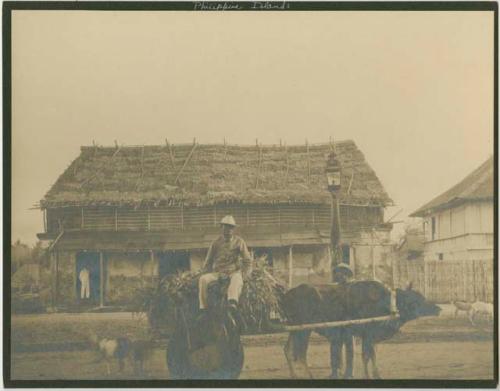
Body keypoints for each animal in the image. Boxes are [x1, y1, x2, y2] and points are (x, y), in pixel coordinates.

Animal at [284, 282, 440, 380]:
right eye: (416, 299)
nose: (438, 308)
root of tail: (288, 294)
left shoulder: (369, 338)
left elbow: (369, 356)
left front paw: (372, 375)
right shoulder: (369, 336)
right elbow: (368, 356)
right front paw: (372, 375)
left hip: (294, 330)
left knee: (288, 350)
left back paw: (294, 375)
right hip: (304, 330)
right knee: (300, 354)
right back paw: (309, 375)